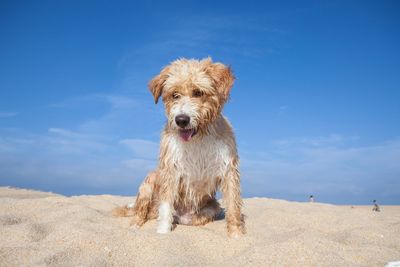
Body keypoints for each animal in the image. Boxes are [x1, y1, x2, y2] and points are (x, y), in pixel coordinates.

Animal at [112, 57, 244, 238]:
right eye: (175, 95)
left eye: (198, 92)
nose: (181, 120)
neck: (198, 138)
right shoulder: (170, 169)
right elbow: (166, 206)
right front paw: (162, 232)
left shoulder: (229, 169)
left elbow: (233, 204)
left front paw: (236, 233)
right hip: (150, 180)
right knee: (141, 212)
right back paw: (135, 226)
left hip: (211, 207)